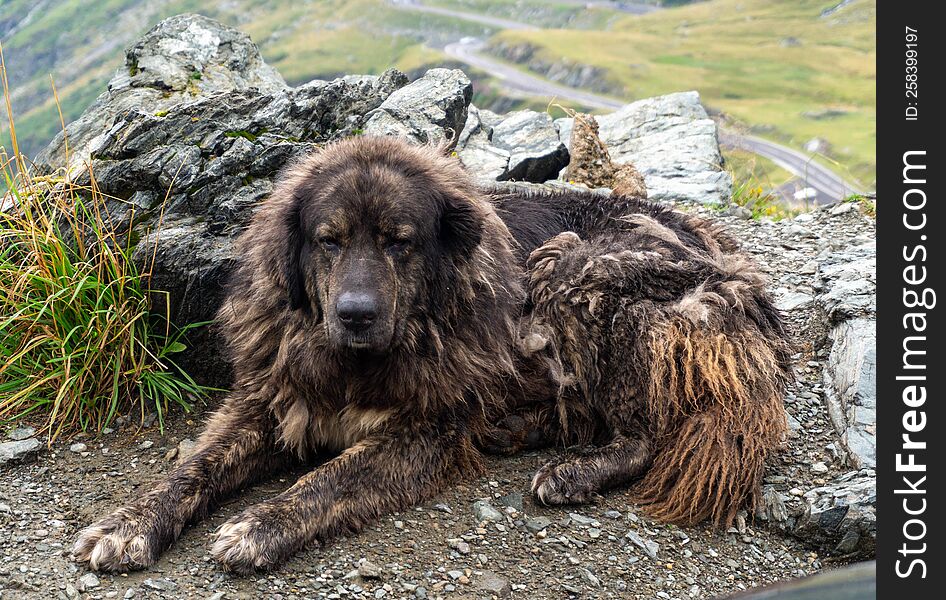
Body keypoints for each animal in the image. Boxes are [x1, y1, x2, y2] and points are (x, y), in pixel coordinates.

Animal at [72, 134, 788, 576]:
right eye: (328, 240)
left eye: (401, 242)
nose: (355, 314)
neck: (364, 361)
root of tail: (737, 275)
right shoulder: (274, 402)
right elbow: (194, 467)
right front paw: (128, 523)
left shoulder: (425, 431)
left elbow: (331, 478)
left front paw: (261, 525)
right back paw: (519, 427)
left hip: (576, 269)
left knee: (647, 431)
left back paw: (573, 471)